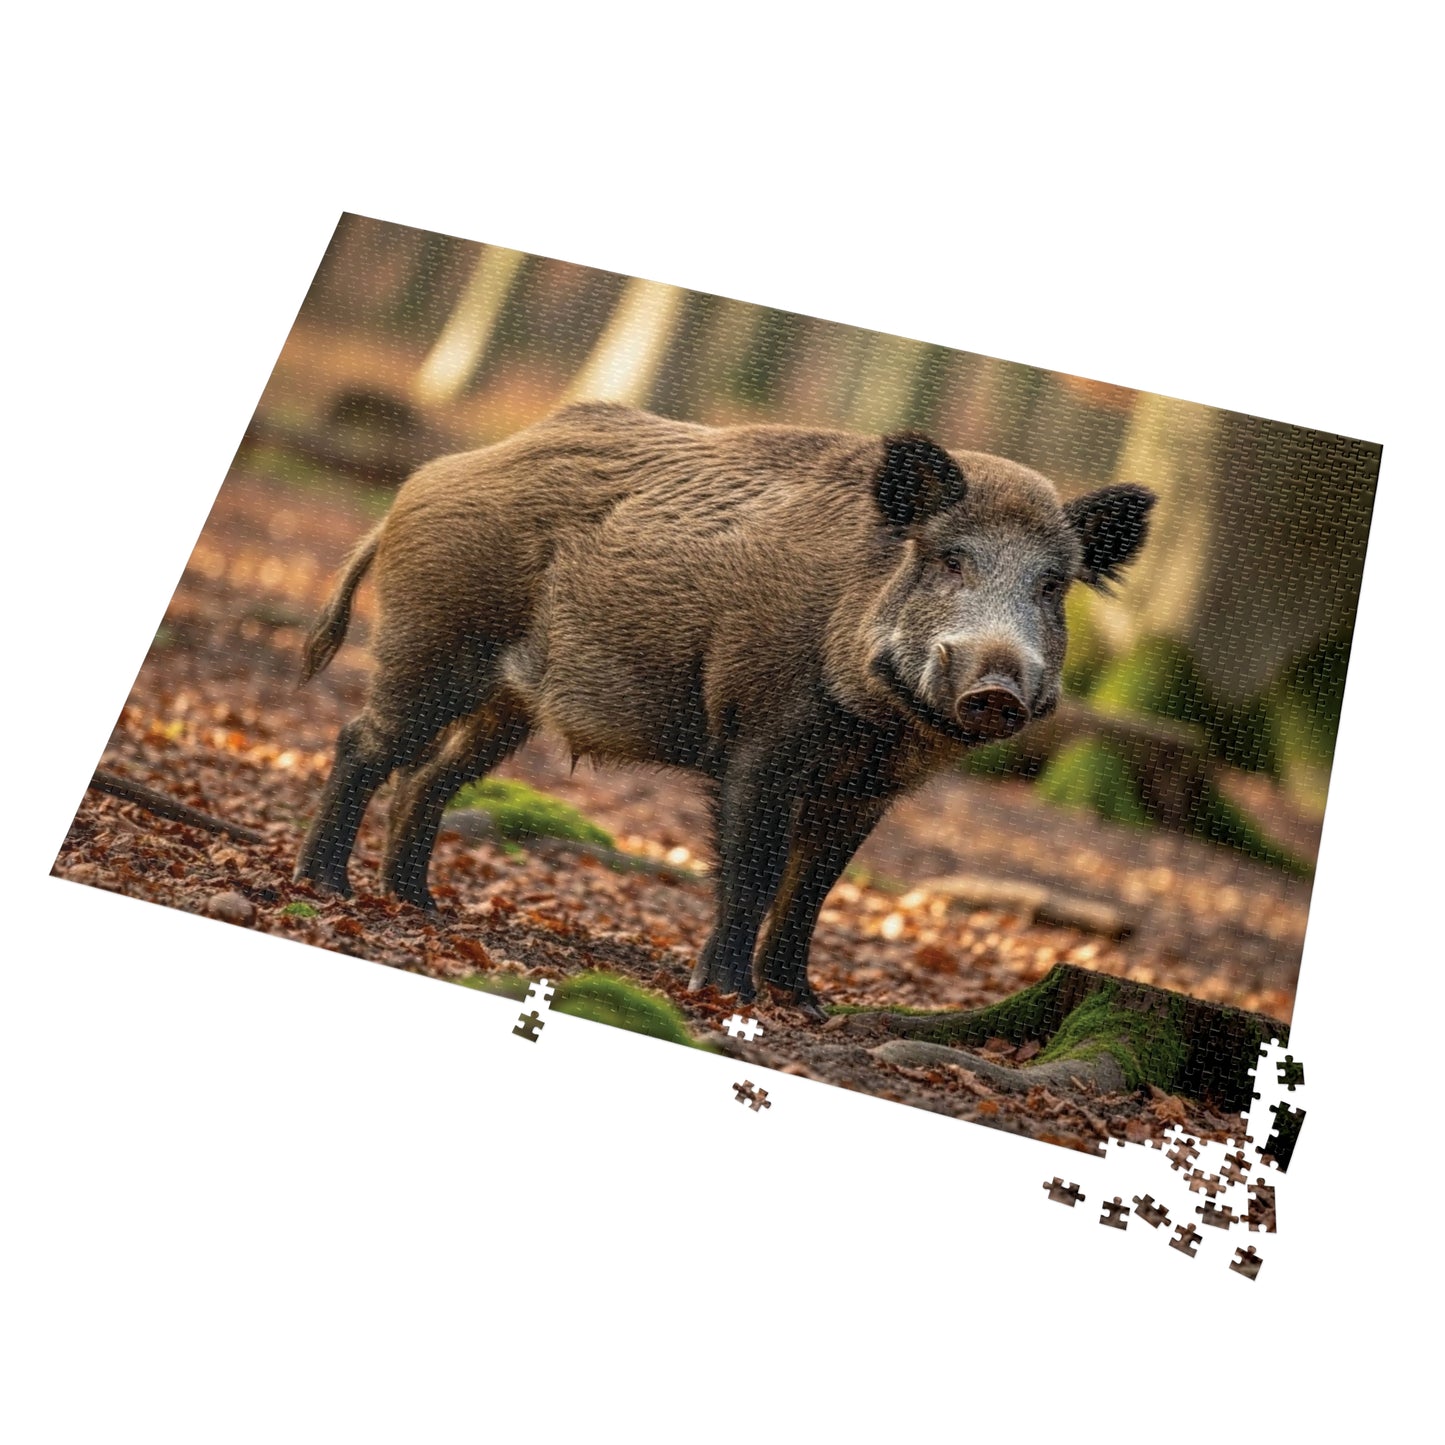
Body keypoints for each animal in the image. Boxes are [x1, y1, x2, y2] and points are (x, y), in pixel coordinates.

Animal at [295, 402, 1154, 1015]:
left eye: (1051, 584)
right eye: (948, 559)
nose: (994, 688)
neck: (876, 724)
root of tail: (419, 481)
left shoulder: (868, 788)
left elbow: (815, 885)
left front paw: (803, 1004)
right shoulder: (759, 738)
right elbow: (754, 868)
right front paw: (728, 995)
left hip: (505, 702)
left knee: (429, 776)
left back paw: (421, 903)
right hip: (432, 640)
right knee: (363, 740)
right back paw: (327, 887)